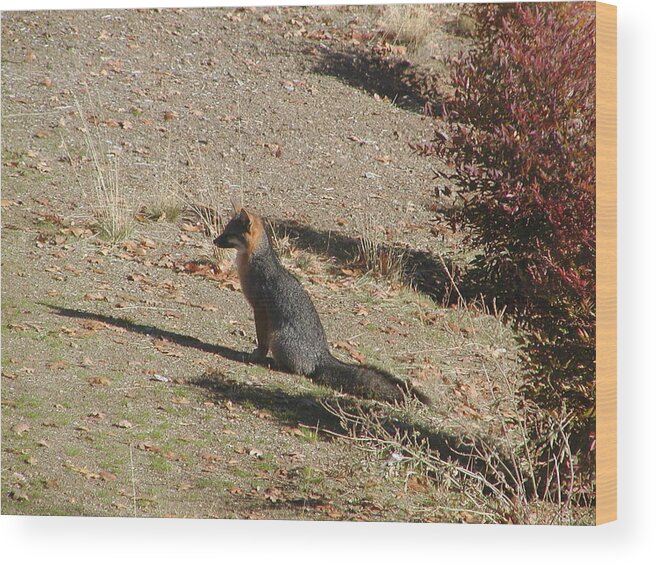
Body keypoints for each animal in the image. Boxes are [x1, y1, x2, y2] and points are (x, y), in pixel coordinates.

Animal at [213, 207, 434, 406]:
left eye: (228, 234)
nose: (215, 240)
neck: (254, 260)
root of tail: (322, 354)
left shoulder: (260, 309)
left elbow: (261, 340)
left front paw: (256, 355)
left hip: (278, 338)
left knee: (301, 370)